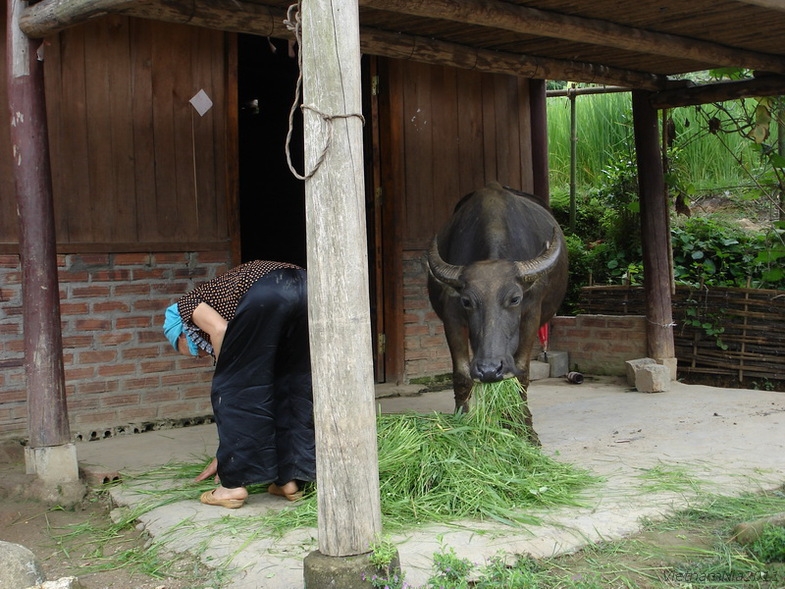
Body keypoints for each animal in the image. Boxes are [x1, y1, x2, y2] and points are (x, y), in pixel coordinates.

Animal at [426, 181, 568, 444]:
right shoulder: (452, 315)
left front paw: (525, 429)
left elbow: (521, 373)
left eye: (515, 299)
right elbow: (462, 373)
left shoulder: (532, 314)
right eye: (467, 301)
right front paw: (462, 424)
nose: (489, 370)